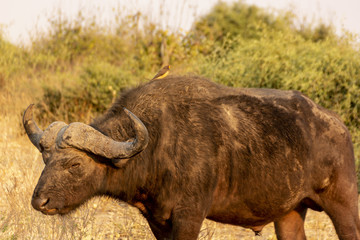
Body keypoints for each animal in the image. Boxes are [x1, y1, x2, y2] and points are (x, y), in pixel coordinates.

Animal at [23, 76, 358, 238]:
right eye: (45, 160)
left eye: (75, 164)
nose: (39, 202)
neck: (158, 144)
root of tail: (338, 126)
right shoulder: (157, 220)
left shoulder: (189, 216)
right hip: (289, 214)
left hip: (344, 206)